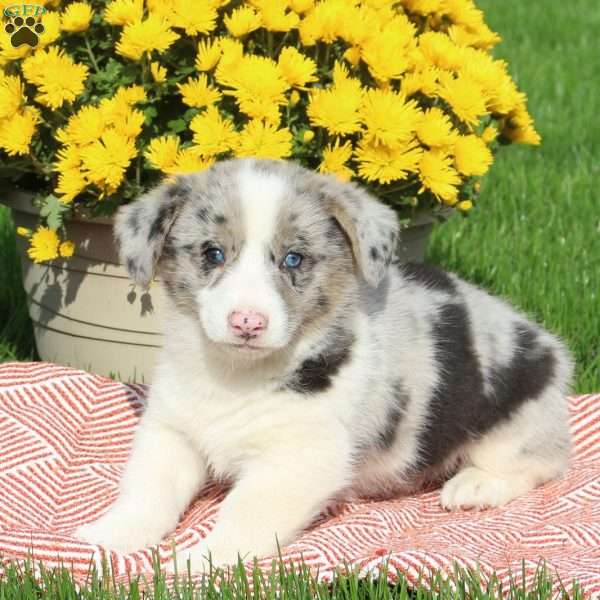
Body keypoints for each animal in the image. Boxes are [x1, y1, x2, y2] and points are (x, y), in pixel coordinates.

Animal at [75, 157, 572, 568]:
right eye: (212, 254)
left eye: (293, 259)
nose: (247, 322)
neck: (235, 375)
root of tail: (552, 348)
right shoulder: (171, 432)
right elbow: (148, 491)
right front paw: (107, 537)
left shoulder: (299, 459)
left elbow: (244, 513)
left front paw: (201, 562)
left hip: (516, 419)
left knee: (541, 462)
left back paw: (476, 486)